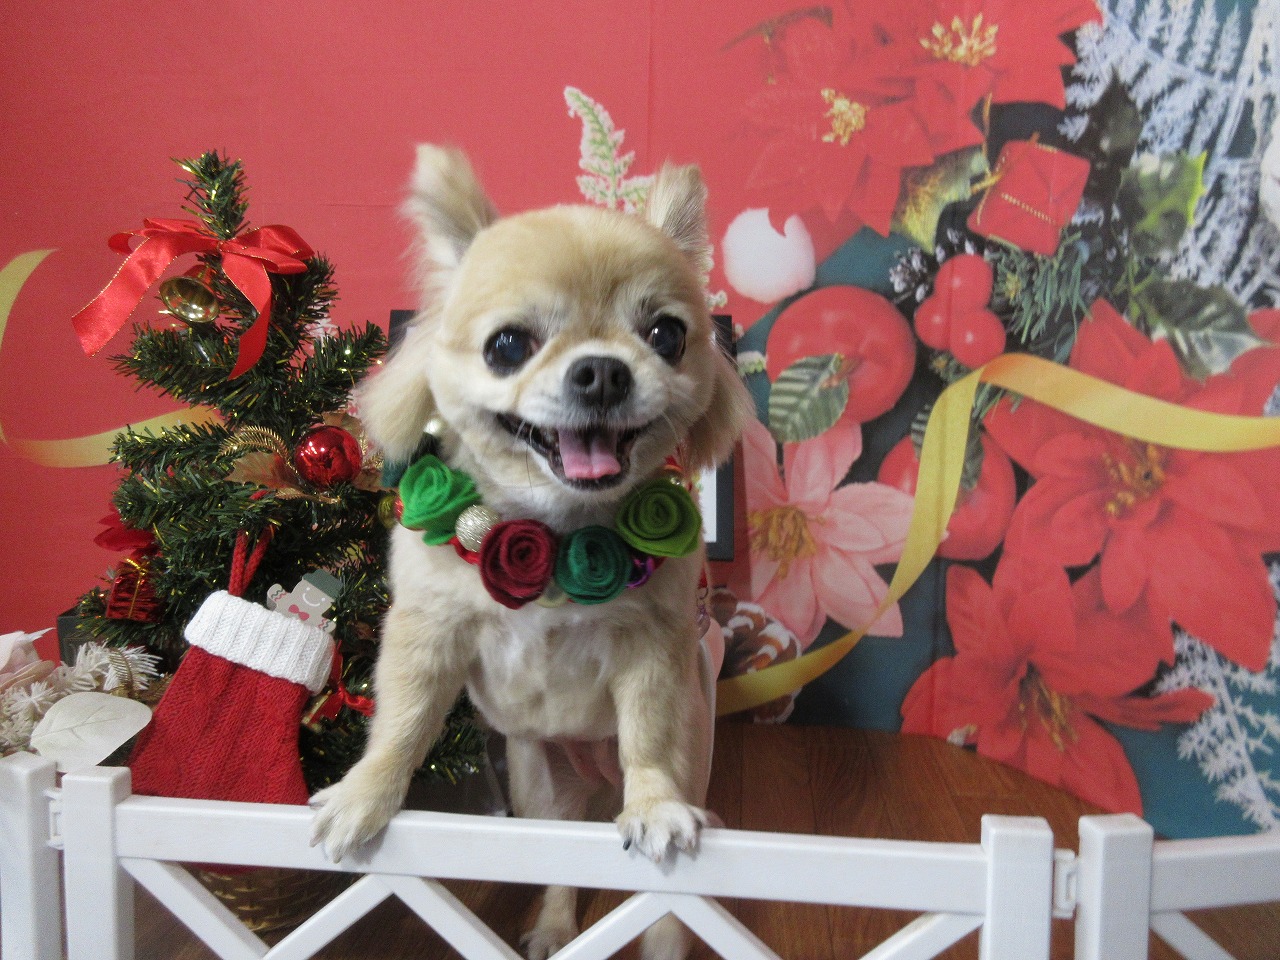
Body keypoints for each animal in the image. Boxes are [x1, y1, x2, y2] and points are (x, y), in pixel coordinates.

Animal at [309, 145, 752, 959]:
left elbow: (650, 735)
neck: (557, 533)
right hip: (539, 787)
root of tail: (593, 773)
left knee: (664, 906)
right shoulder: (425, 638)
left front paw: (653, 803)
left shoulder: (656, 654)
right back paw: (551, 927)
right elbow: (402, 724)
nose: (603, 369)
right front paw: (364, 794)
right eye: (508, 345)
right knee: (558, 864)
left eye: (667, 336)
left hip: (693, 764)